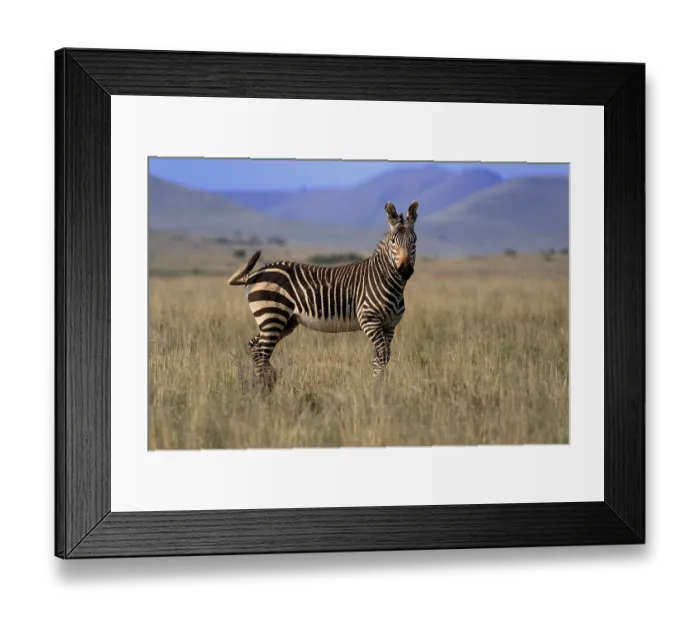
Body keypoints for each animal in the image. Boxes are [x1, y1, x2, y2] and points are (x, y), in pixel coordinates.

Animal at [228, 200, 418, 387]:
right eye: (393, 241)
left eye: (414, 241)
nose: (405, 270)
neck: (388, 282)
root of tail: (255, 274)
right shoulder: (369, 321)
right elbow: (382, 355)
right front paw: (377, 387)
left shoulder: (389, 325)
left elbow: (382, 357)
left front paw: (380, 386)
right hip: (272, 316)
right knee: (262, 350)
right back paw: (264, 386)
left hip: (284, 322)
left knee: (255, 346)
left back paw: (265, 382)